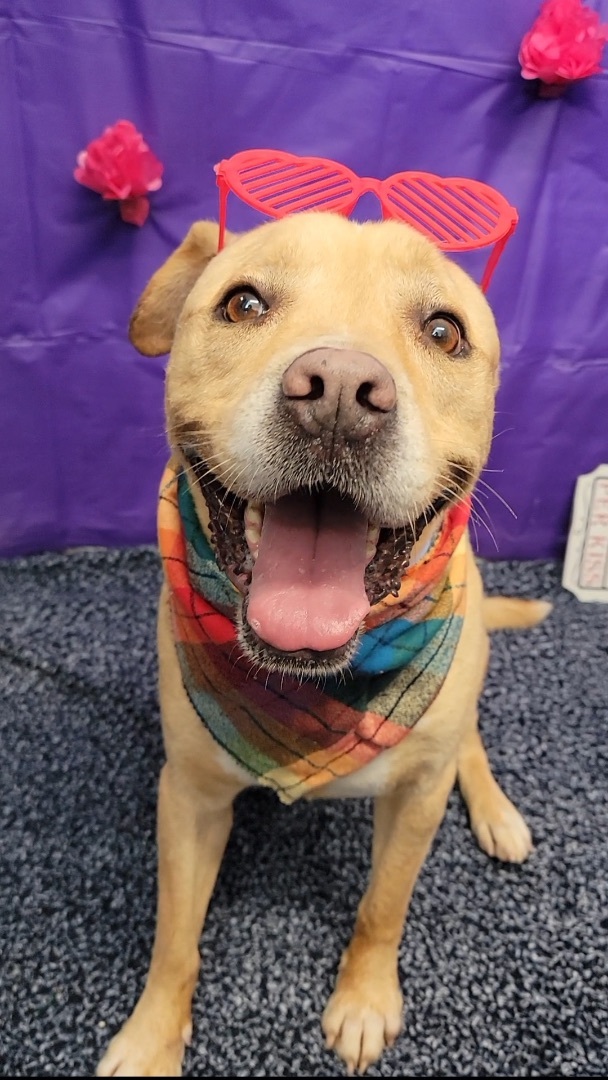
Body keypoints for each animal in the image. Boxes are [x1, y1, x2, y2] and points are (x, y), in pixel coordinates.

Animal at [96, 212, 552, 1080]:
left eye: (443, 330)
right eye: (243, 303)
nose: (339, 394)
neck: (315, 685)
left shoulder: (415, 803)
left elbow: (382, 907)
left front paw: (366, 1002)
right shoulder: (189, 797)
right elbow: (175, 938)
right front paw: (151, 1037)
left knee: (468, 741)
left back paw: (498, 812)